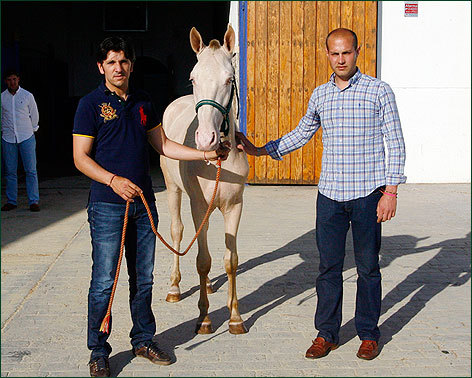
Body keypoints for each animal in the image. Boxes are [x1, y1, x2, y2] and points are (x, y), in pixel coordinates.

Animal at [160, 25, 251, 336]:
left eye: (229, 79)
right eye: (193, 78)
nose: (205, 139)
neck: (218, 159)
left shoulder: (234, 207)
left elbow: (230, 261)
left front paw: (235, 318)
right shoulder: (198, 205)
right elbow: (202, 261)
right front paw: (204, 319)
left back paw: (209, 286)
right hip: (174, 191)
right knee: (177, 232)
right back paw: (174, 288)